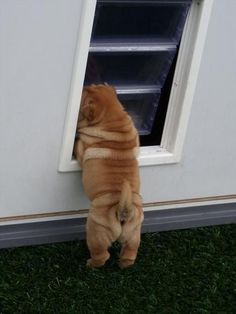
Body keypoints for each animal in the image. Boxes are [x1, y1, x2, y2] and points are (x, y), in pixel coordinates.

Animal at [74, 84, 144, 268]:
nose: (85, 84)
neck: (113, 122)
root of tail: (123, 212)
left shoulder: (82, 149)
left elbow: (78, 146)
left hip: (95, 232)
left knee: (102, 255)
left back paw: (90, 264)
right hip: (134, 235)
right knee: (130, 254)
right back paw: (123, 264)